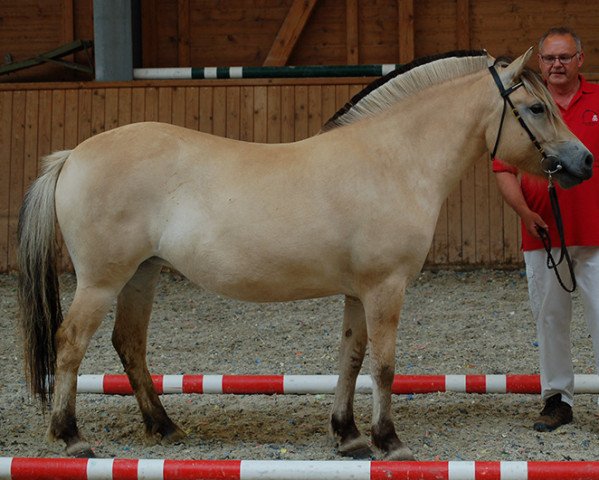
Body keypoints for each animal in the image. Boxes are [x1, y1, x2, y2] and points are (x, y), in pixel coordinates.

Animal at [18, 47, 596, 460]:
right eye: (537, 107)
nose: (584, 161)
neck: (393, 160)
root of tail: (73, 155)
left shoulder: (359, 291)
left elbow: (351, 359)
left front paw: (349, 435)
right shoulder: (386, 287)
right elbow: (384, 365)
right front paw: (389, 440)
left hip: (141, 275)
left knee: (129, 345)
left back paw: (164, 426)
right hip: (101, 281)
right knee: (70, 344)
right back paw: (72, 437)